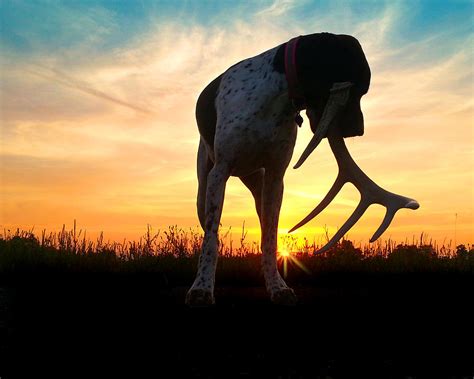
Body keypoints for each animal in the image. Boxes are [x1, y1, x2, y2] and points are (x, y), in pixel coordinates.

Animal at [187, 31, 372, 306]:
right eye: (358, 89)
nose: (359, 131)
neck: (275, 95)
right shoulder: (220, 172)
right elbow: (211, 239)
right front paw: (201, 288)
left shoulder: (275, 177)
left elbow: (270, 238)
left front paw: (277, 287)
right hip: (205, 186)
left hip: (259, 184)